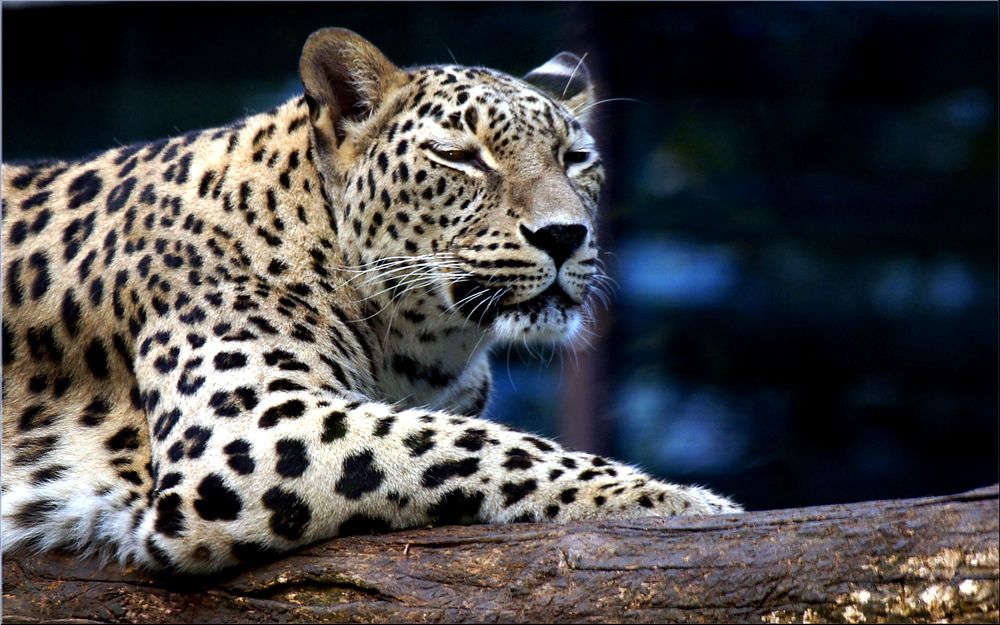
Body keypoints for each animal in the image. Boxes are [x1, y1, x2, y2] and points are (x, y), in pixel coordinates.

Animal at [1, 30, 744, 576]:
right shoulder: (251, 427)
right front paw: (678, 501)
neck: (421, 346)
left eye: (577, 157)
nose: (564, 235)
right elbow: (481, 445)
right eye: (459, 156)